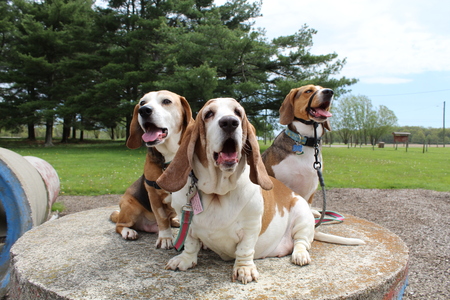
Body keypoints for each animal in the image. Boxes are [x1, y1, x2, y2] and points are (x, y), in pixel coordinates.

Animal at [110, 90, 193, 250]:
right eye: (142, 102)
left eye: (166, 101)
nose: (144, 110)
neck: (169, 157)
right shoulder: (153, 195)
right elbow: (162, 218)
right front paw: (165, 238)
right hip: (130, 206)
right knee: (119, 225)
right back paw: (128, 231)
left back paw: (175, 222)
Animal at [158, 98, 316, 284]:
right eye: (209, 114)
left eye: (238, 113)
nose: (229, 122)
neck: (217, 192)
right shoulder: (187, 223)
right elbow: (190, 244)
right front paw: (185, 259)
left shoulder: (251, 226)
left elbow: (245, 249)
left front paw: (244, 269)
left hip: (302, 215)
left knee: (301, 241)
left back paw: (300, 255)